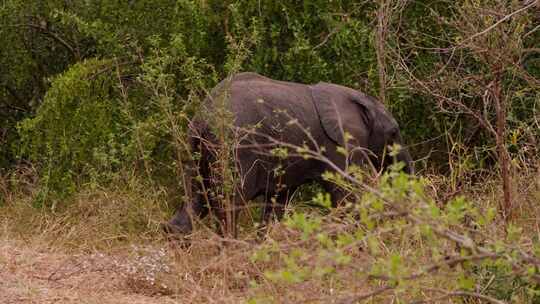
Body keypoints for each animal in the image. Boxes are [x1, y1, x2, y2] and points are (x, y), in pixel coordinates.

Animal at [162, 72, 412, 238]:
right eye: (393, 133)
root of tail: (204, 117)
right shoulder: (337, 145)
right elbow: (346, 195)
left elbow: (277, 201)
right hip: (234, 148)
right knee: (229, 203)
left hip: (195, 148)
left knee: (196, 197)